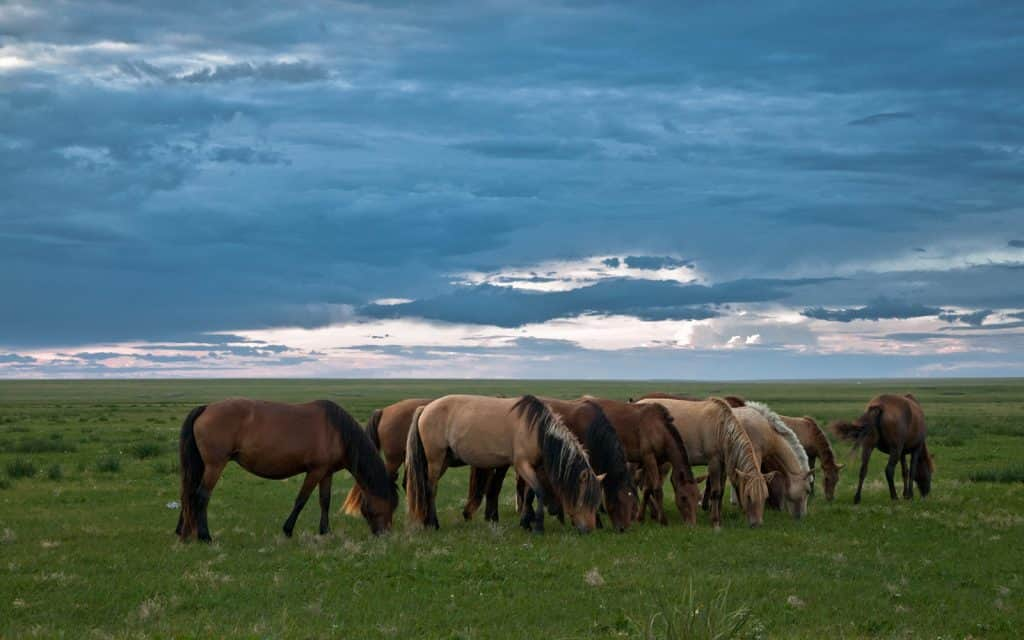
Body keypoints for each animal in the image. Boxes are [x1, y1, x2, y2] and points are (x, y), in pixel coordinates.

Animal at [176, 399, 399, 540]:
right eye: (389, 505)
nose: (384, 535)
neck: (337, 432)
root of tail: (205, 408)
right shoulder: (315, 471)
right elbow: (301, 500)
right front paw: (288, 530)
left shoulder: (326, 473)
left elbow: (324, 501)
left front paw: (325, 531)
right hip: (214, 466)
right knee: (201, 495)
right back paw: (205, 536)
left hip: (203, 466)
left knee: (189, 493)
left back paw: (184, 531)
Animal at [403, 395, 602, 532]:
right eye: (585, 499)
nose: (590, 529)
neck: (535, 429)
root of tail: (425, 408)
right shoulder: (522, 465)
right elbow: (540, 491)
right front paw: (538, 526)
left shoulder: (531, 467)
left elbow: (530, 494)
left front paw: (526, 523)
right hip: (435, 460)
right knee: (431, 489)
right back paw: (433, 523)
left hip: (443, 460)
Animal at [464, 399, 638, 528]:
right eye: (619, 499)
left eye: (633, 503)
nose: (623, 528)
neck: (590, 428)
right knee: (495, 486)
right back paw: (495, 517)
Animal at [630, 397, 770, 528]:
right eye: (749, 496)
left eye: (765, 497)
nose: (757, 524)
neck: (721, 427)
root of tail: (637, 402)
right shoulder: (713, 462)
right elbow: (715, 491)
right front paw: (715, 521)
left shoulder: (723, 465)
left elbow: (721, 491)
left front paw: (719, 518)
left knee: (645, 486)